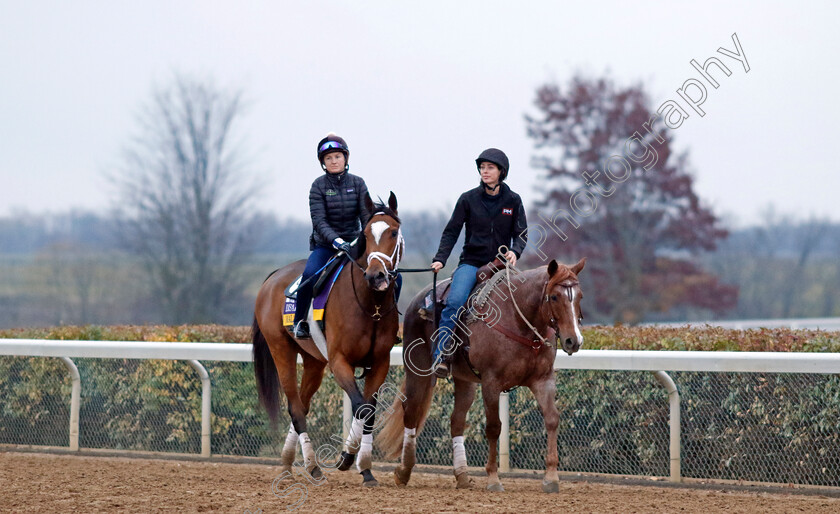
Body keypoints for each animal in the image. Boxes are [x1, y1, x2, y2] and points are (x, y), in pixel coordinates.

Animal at [253, 191, 404, 484]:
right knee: (295, 409)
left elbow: (369, 411)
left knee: (302, 404)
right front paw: (347, 458)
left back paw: (288, 463)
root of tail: (272, 277)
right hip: (281, 350)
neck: (371, 305)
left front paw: (364, 467)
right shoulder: (339, 362)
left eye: (393, 232)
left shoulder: (379, 363)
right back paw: (312, 465)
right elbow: (361, 407)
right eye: (365, 235)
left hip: (314, 362)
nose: (376, 276)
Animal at [378, 254, 588, 490]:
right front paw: (493, 478)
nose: (573, 341)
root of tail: (417, 300)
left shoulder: (543, 380)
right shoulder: (491, 383)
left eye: (579, 296)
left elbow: (552, 419)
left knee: (457, 421)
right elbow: (494, 427)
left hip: (465, 380)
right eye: (554, 297)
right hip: (418, 371)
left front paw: (551, 477)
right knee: (411, 412)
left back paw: (461, 475)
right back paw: (404, 470)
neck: (517, 319)